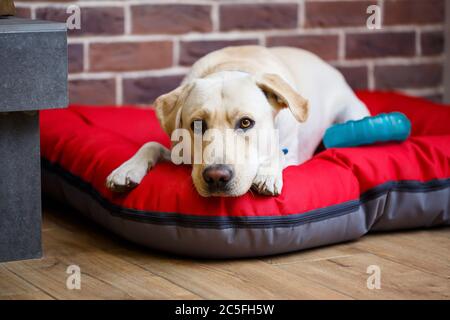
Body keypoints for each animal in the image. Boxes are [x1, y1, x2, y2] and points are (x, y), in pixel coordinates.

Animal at [106, 44, 370, 195]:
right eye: (197, 125)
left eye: (245, 123)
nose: (216, 177)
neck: (232, 66)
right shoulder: (180, 151)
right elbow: (150, 144)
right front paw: (126, 169)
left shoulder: (294, 156)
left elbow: (278, 152)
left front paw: (267, 174)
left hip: (352, 114)